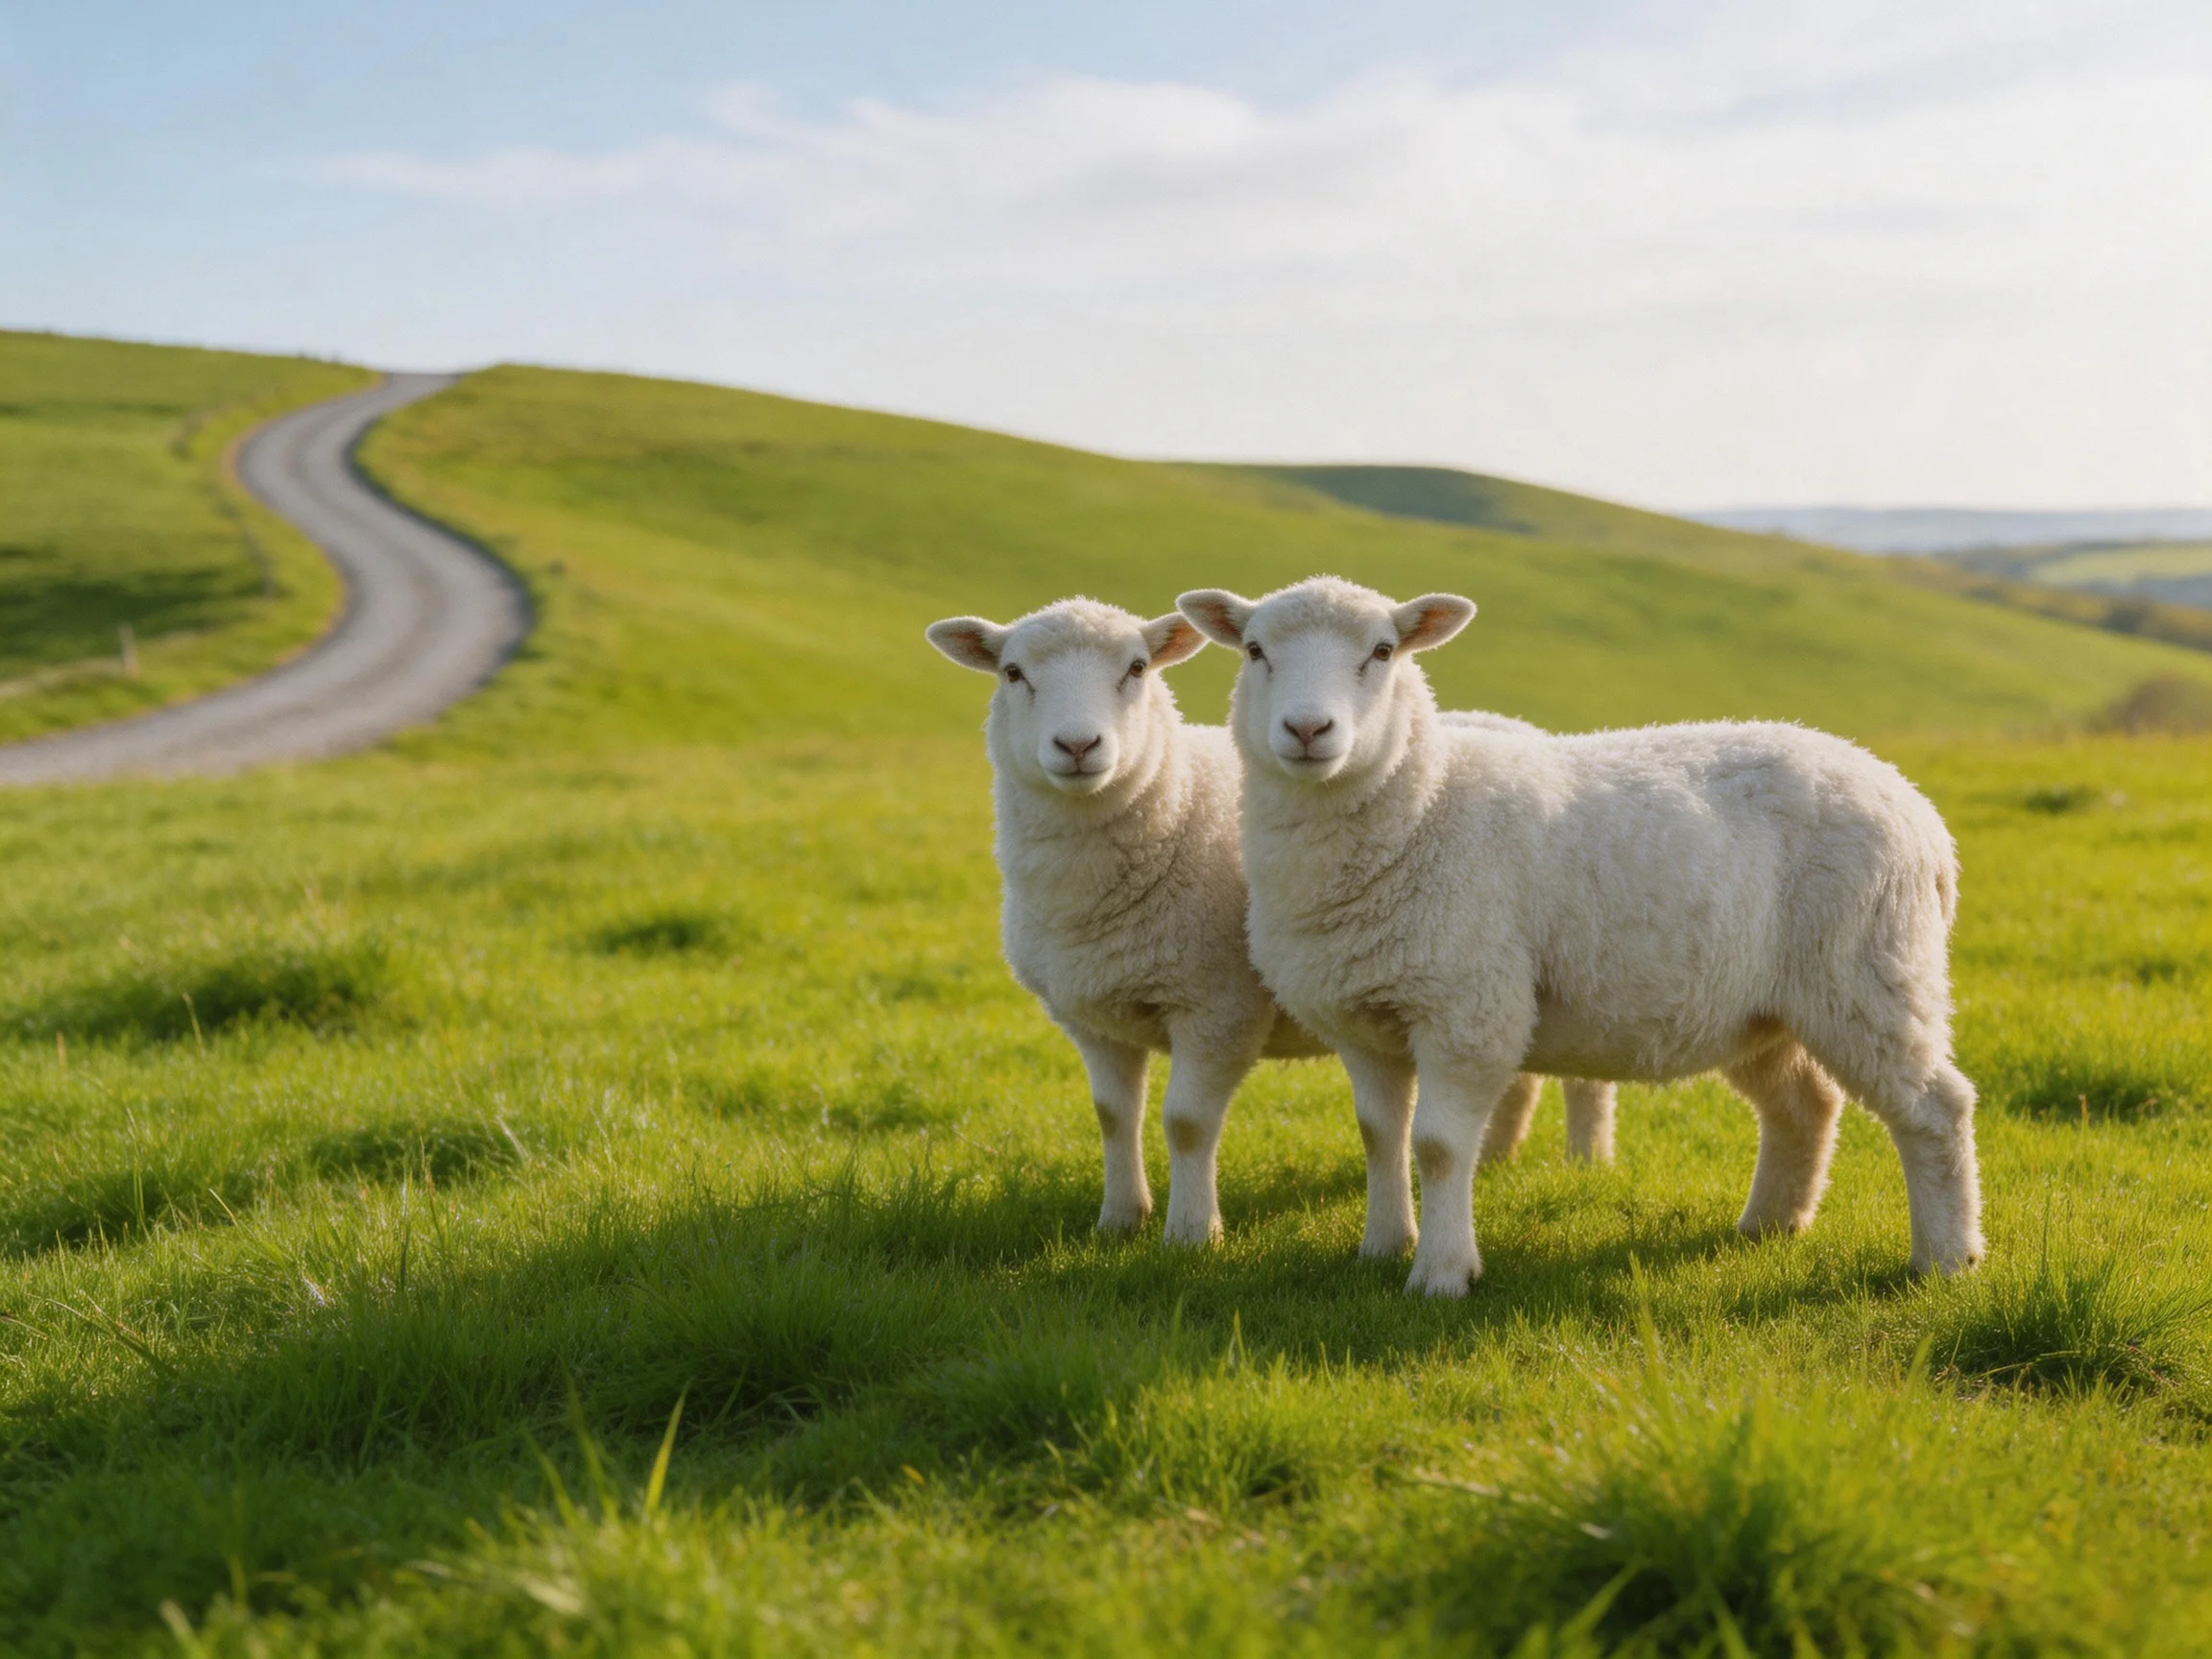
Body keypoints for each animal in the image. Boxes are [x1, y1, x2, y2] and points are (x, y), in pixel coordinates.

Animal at [1177, 576, 1983, 1296]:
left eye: (1382, 651)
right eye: (1255, 650)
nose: (1309, 731)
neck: (1424, 805)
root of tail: (1921, 814)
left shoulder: (1467, 1009)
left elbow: (1438, 1147)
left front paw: (1441, 1273)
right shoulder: (1363, 1017)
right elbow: (1381, 1136)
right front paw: (1381, 1247)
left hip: (1870, 971)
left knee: (1935, 1109)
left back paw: (1946, 1260)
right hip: (1765, 1007)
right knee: (1804, 1105)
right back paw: (1770, 1224)